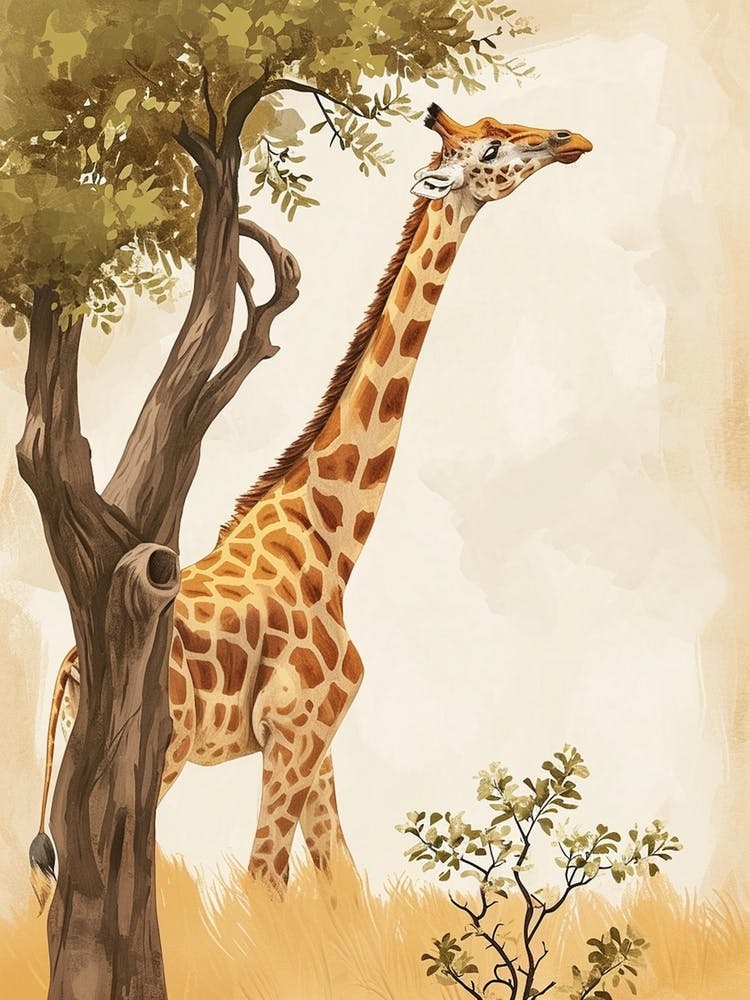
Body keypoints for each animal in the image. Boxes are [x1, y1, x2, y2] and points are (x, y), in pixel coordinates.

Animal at [31, 104, 592, 900]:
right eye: (488, 149)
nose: (572, 140)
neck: (331, 539)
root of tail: (74, 662)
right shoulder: (295, 728)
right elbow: (267, 879)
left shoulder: (320, 737)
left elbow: (339, 877)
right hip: (161, 755)